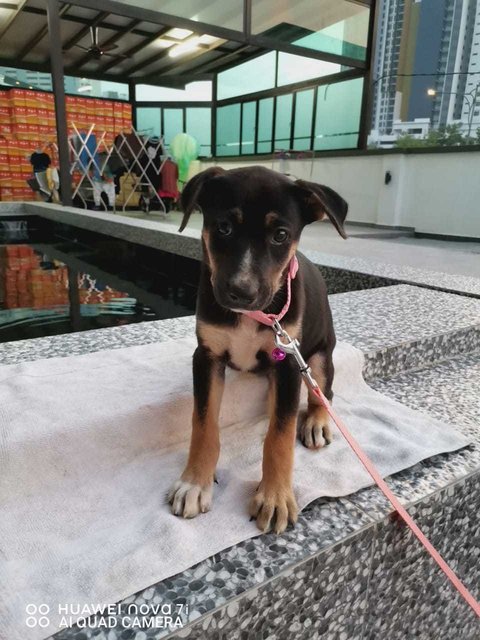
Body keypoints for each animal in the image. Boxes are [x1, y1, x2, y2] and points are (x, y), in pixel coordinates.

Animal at [169, 166, 348, 536]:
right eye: (223, 227)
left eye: (280, 235)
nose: (242, 291)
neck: (252, 317)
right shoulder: (206, 356)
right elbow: (203, 423)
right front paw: (194, 482)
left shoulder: (289, 364)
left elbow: (279, 435)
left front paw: (275, 497)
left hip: (318, 357)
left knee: (322, 392)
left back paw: (316, 421)